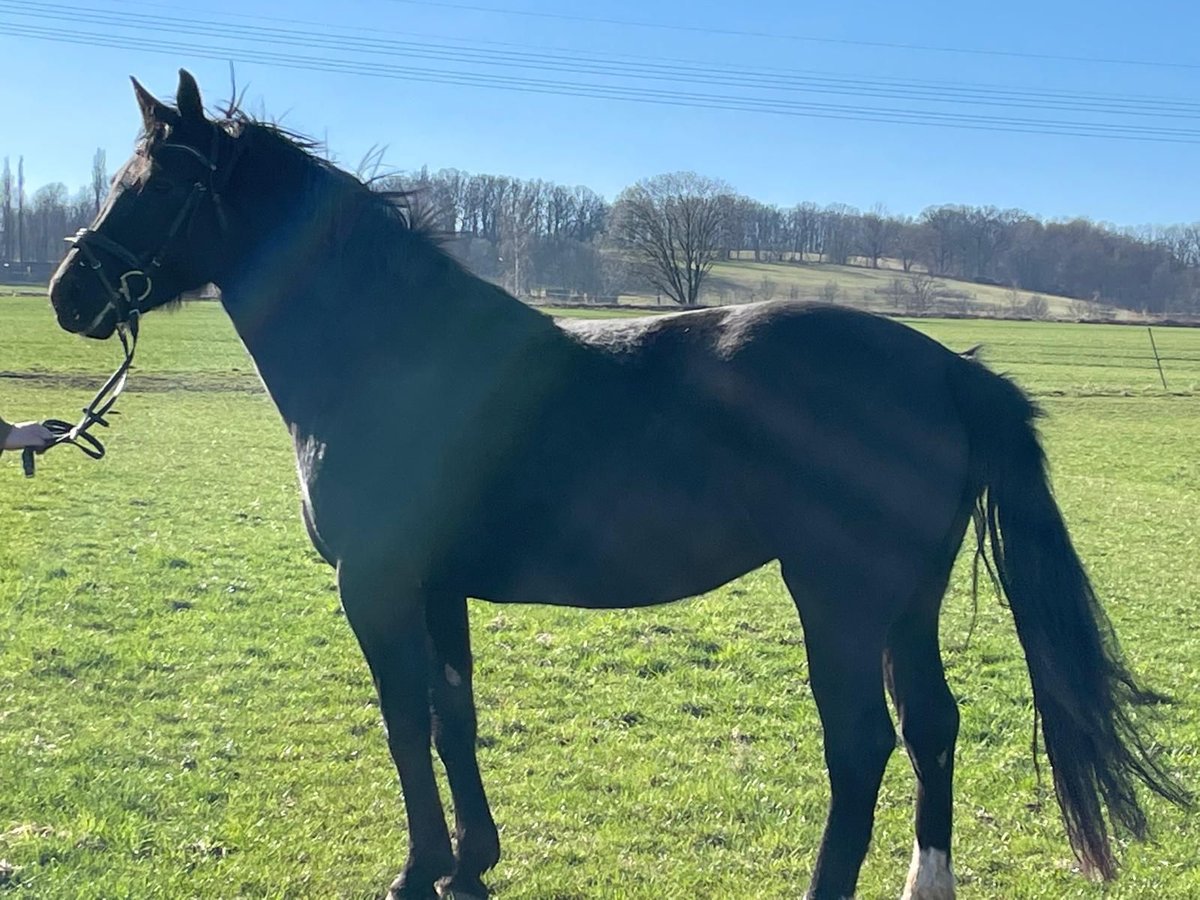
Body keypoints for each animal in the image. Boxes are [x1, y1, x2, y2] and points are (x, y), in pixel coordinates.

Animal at [49, 72, 1190, 900]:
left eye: (153, 185)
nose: (69, 293)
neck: (393, 352)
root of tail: (947, 366)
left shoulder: (374, 586)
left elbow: (405, 721)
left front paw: (418, 872)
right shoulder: (435, 585)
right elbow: (454, 716)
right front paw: (471, 865)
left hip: (840, 597)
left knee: (863, 743)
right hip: (907, 602)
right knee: (932, 730)